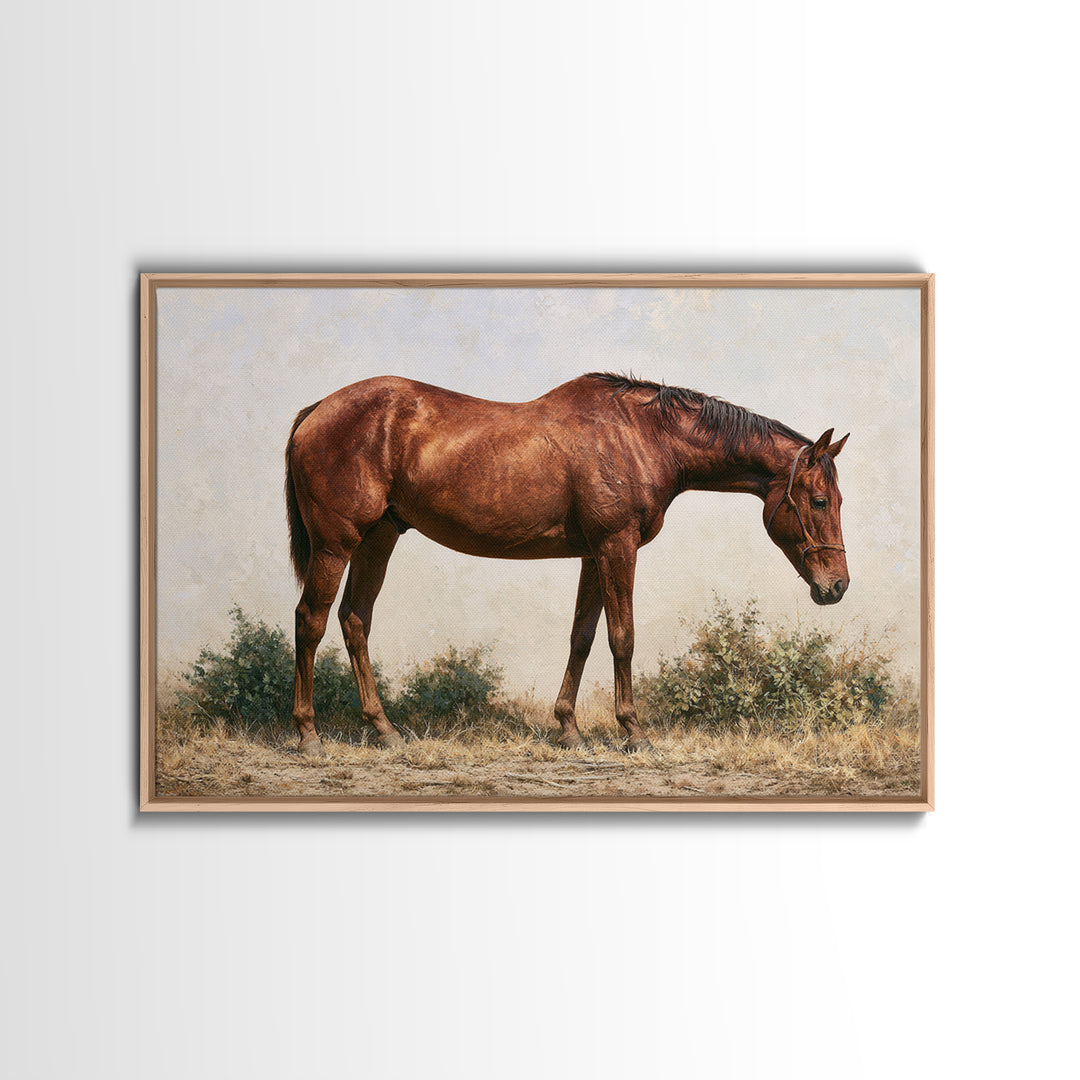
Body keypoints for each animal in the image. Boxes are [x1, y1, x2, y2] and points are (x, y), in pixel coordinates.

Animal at [284, 372, 850, 755]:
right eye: (820, 500)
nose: (838, 586)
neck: (642, 436)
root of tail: (317, 409)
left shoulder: (594, 554)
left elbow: (582, 636)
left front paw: (569, 728)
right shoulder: (617, 546)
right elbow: (622, 636)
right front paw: (633, 732)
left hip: (378, 538)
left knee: (355, 620)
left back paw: (385, 730)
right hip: (336, 545)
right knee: (311, 621)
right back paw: (309, 734)